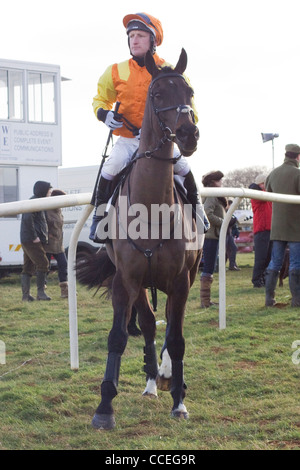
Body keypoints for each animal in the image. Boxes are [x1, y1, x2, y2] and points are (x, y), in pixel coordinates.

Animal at [78, 48, 202, 430]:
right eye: (157, 94)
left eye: (189, 92)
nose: (189, 133)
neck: (151, 212)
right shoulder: (126, 279)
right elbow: (118, 336)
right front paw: (105, 406)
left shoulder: (181, 281)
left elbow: (176, 339)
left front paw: (179, 400)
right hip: (142, 283)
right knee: (147, 323)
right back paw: (150, 382)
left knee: (170, 327)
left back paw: (168, 378)